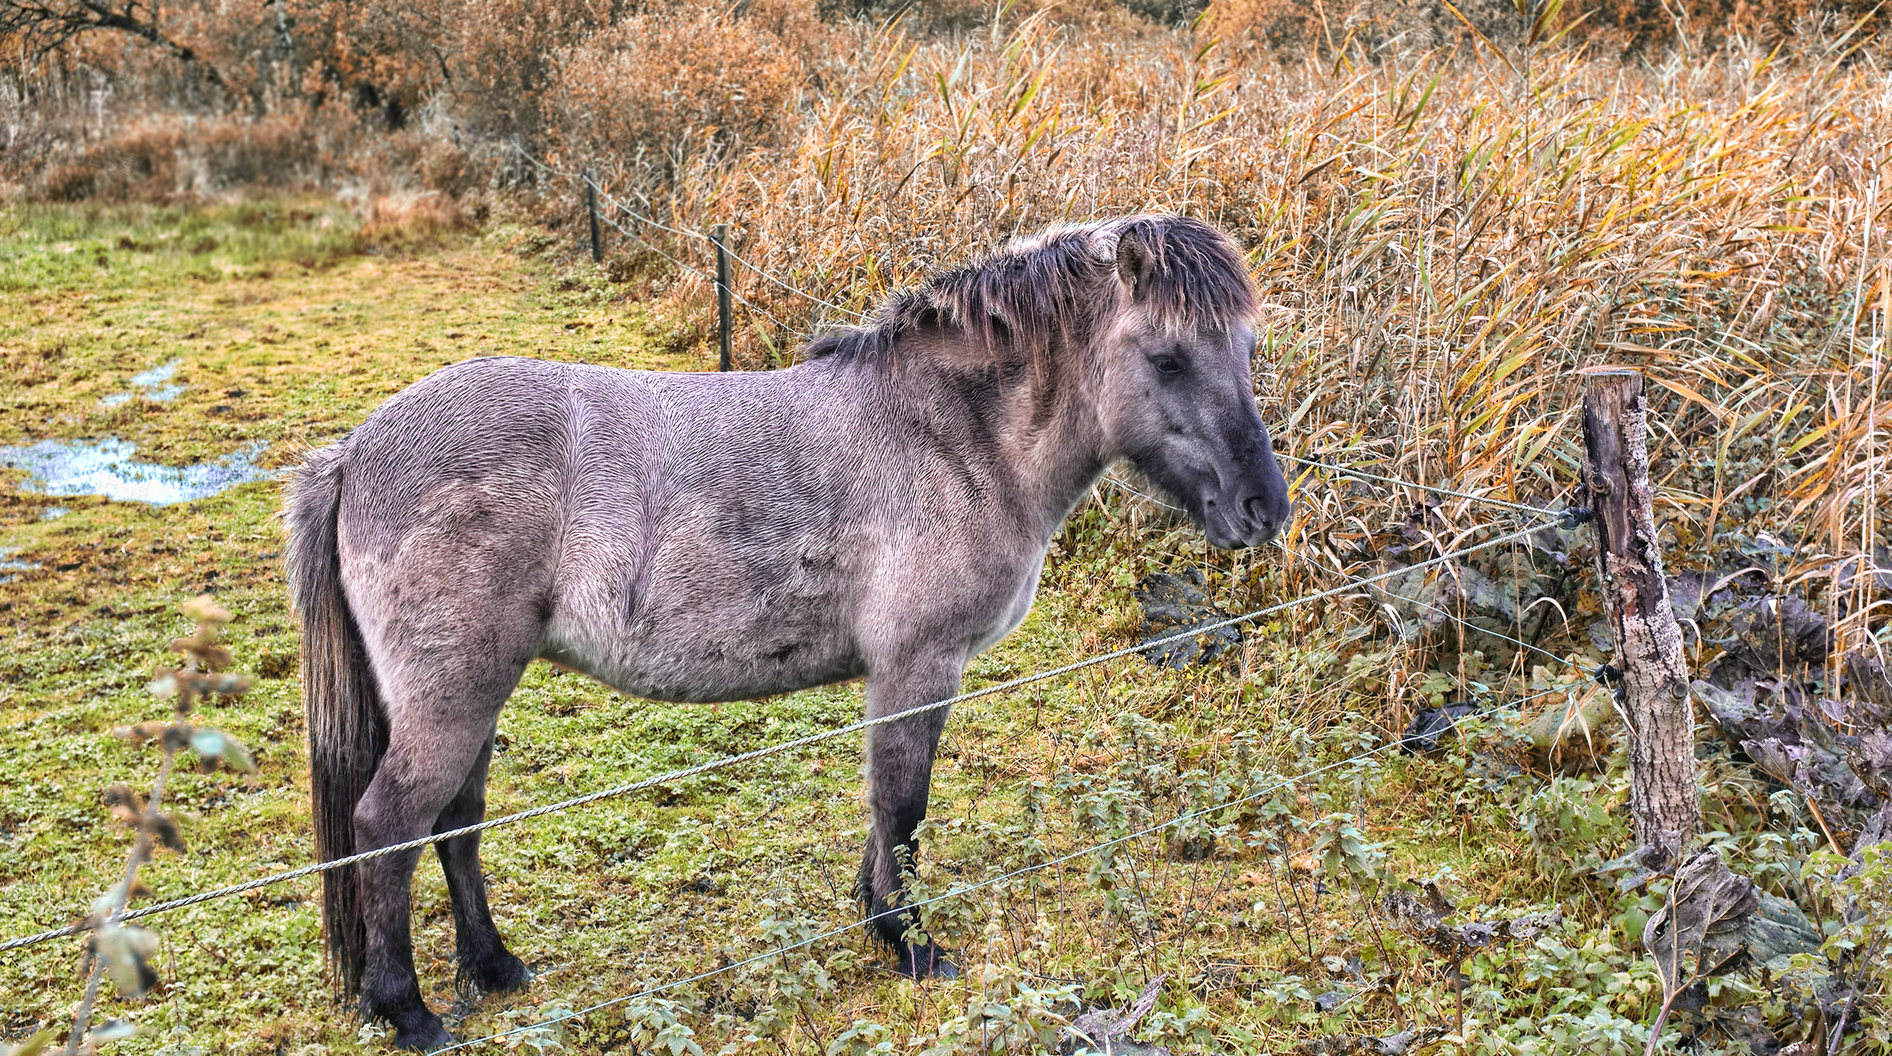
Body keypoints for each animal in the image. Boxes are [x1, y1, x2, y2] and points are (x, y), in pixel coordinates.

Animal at [285, 213, 1292, 1049]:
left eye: (1247, 347)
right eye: (1167, 359)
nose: (1264, 509)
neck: (950, 436)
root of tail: (357, 451)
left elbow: (886, 811)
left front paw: (879, 920)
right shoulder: (917, 666)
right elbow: (903, 805)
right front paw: (911, 944)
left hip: (474, 694)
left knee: (455, 824)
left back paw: (493, 968)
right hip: (452, 697)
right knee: (389, 828)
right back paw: (409, 1012)